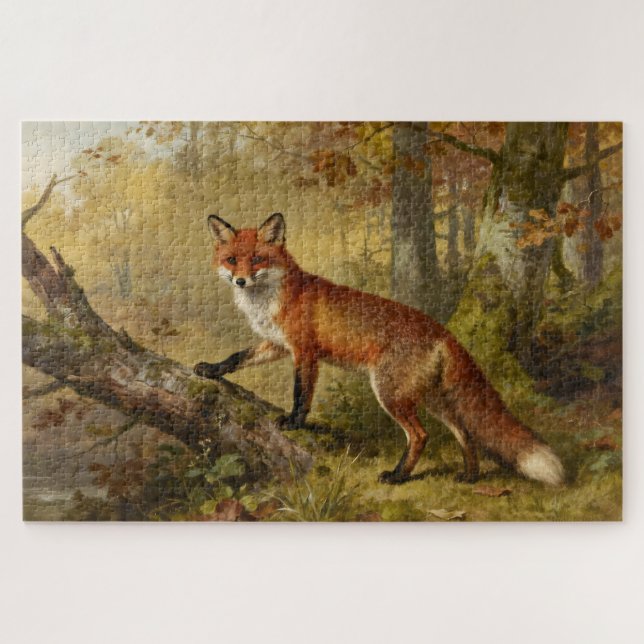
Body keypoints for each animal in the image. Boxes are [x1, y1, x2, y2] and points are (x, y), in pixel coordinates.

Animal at [195, 212, 565, 486]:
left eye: (257, 259)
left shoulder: (304, 351)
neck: (270, 299)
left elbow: (301, 394)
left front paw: (294, 422)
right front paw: (211, 369)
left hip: (390, 393)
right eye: (232, 260)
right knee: (464, 433)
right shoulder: (276, 344)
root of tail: (442, 330)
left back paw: (399, 476)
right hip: (431, 399)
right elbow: (237, 357)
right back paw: (470, 476)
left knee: (420, 435)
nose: (241, 280)